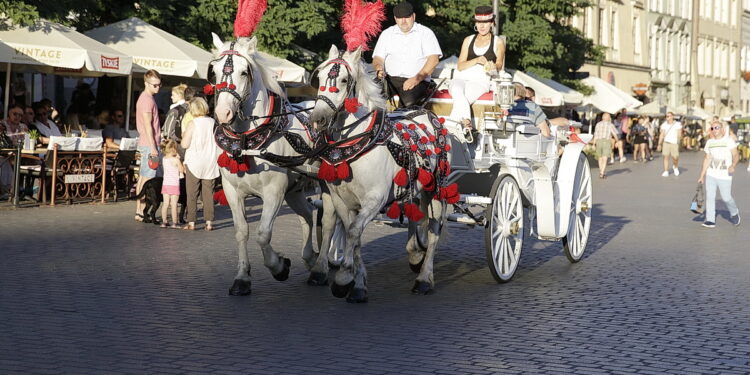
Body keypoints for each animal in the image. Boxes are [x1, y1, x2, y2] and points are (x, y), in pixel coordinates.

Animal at [207, 33, 334, 296]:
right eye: (213, 71)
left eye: (244, 72)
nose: (223, 113)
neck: (247, 142)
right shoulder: (232, 191)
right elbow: (242, 232)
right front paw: (242, 277)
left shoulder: (274, 191)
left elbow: (263, 234)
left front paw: (279, 266)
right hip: (295, 190)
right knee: (307, 216)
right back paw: (309, 257)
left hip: (328, 184)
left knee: (329, 223)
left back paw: (321, 269)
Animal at [308, 44, 456, 302]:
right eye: (320, 78)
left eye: (344, 80)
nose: (318, 119)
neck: (356, 142)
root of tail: (430, 115)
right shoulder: (341, 199)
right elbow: (352, 234)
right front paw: (357, 284)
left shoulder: (375, 199)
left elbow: (354, 231)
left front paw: (344, 277)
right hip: (414, 189)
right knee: (416, 217)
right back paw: (415, 254)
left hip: (437, 191)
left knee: (434, 231)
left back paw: (424, 279)